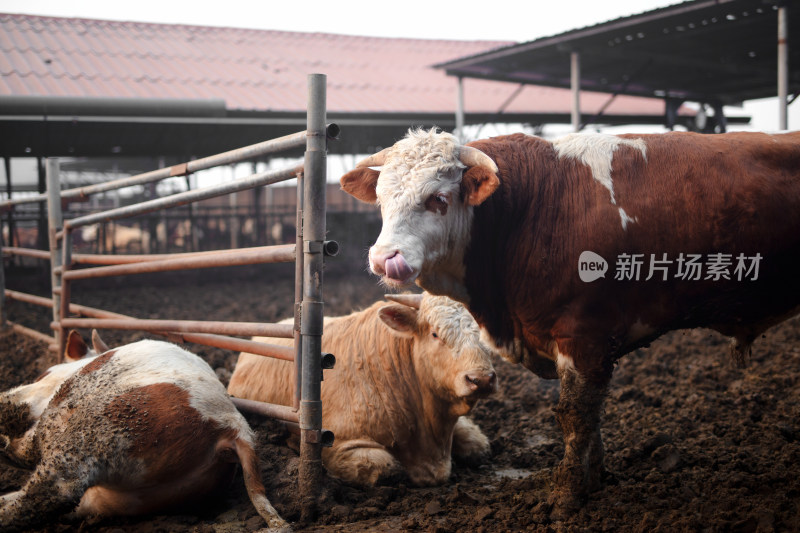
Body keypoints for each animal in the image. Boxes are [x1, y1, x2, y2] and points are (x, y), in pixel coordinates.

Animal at [0, 330, 288, 528]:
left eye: (44, 372)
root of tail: (233, 426)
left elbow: (14, 409)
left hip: (95, 426)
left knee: (51, 490)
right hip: (123, 499)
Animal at [340, 127, 800, 516]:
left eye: (438, 198)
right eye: (381, 199)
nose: (385, 258)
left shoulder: (583, 336)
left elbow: (576, 416)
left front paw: (568, 494)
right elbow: (591, 417)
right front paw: (595, 480)